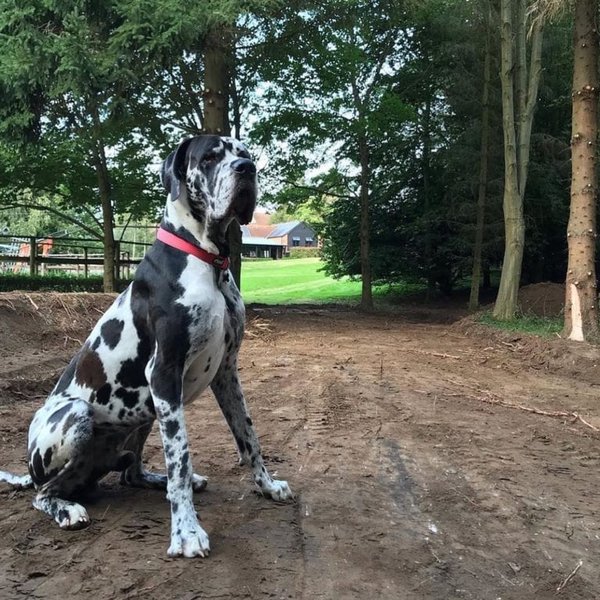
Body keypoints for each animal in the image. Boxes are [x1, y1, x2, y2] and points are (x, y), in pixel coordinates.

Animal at [0, 136, 292, 556]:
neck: (206, 258)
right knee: (42, 493)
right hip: (79, 414)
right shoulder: (165, 372)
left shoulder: (226, 372)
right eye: (210, 157)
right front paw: (186, 532)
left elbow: (248, 436)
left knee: (130, 473)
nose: (247, 170)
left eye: (245, 153)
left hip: (144, 412)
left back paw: (152, 480)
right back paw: (66, 508)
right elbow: (180, 459)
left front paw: (267, 486)